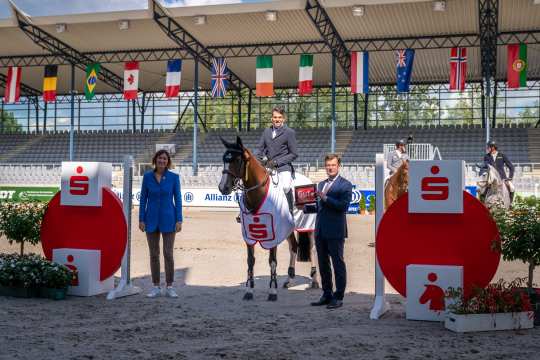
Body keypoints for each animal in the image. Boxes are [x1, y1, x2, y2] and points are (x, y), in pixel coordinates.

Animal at [218, 136, 296, 300]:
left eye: (237, 160)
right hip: (289, 229)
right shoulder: (249, 234)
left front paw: (272, 291)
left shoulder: (273, 233)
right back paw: (288, 279)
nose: (223, 188)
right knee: (294, 247)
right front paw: (249, 290)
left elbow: (272, 261)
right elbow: (250, 261)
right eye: (224, 159)